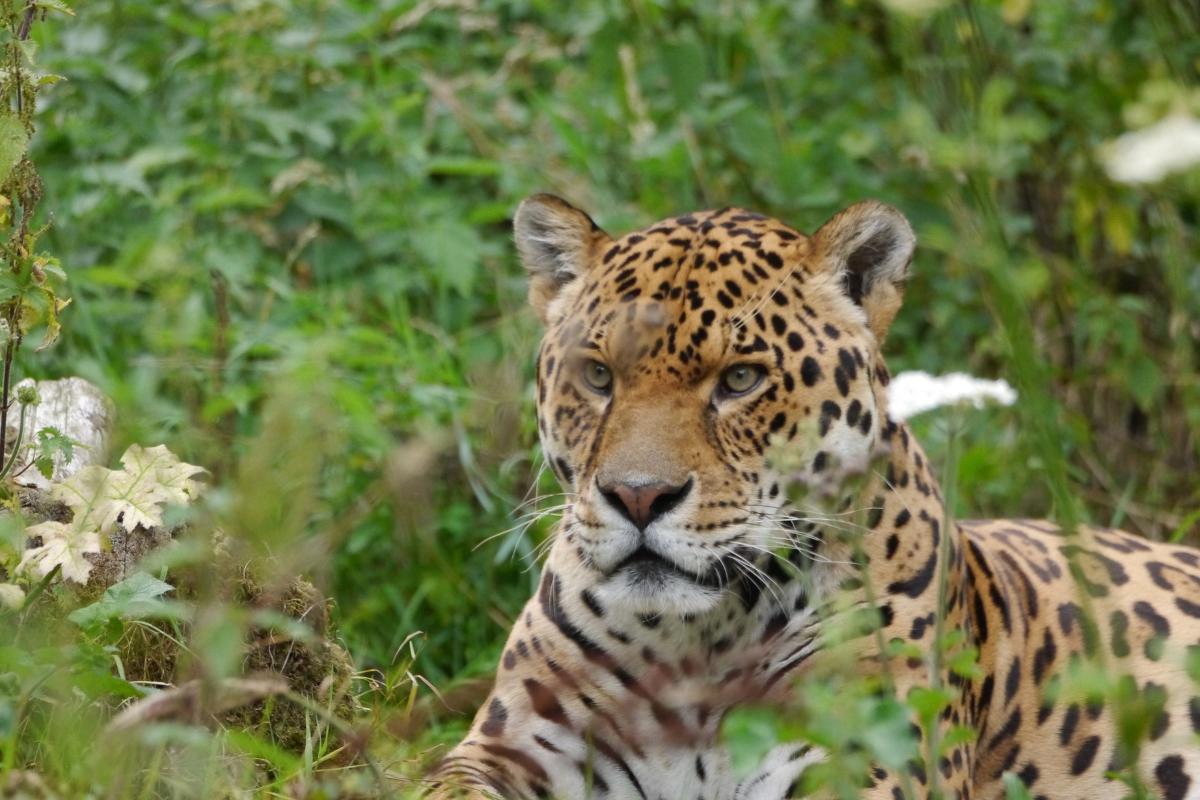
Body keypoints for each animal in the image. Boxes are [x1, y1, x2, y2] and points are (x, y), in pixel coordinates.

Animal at [424, 194, 1200, 799]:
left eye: (740, 380)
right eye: (597, 375)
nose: (638, 498)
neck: (692, 648)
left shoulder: (873, 760)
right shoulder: (505, 750)